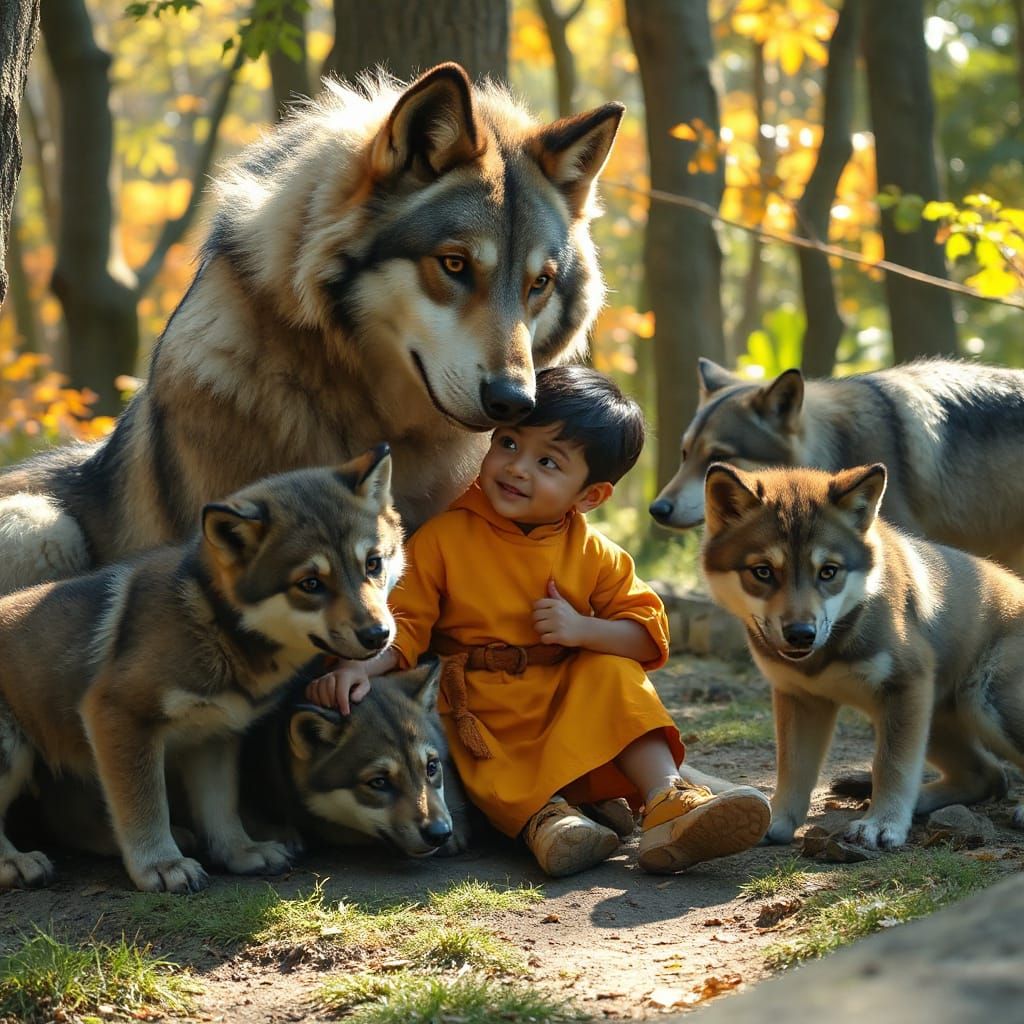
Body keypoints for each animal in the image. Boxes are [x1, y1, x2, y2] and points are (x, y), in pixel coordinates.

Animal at [0, 446, 403, 892]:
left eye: (373, 564)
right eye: (310, 583)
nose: (378, 635)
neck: (215, 624)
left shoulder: (214, 734)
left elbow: (220, 808)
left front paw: (242, 851)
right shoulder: (118, 715)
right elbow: (144, 806)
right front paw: (162, 865)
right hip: (10, 749)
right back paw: (15, 862)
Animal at [701, 460, 1024, 850]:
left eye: (829, 571)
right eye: (762, 571)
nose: (801, 634)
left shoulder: (905, 688)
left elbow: (891, 766)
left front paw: (881, 825)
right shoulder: (800, 699)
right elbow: (793, 769)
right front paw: (774, 820)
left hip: (984, 704)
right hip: (934, 722)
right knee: (989, 776)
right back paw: (919, 803)